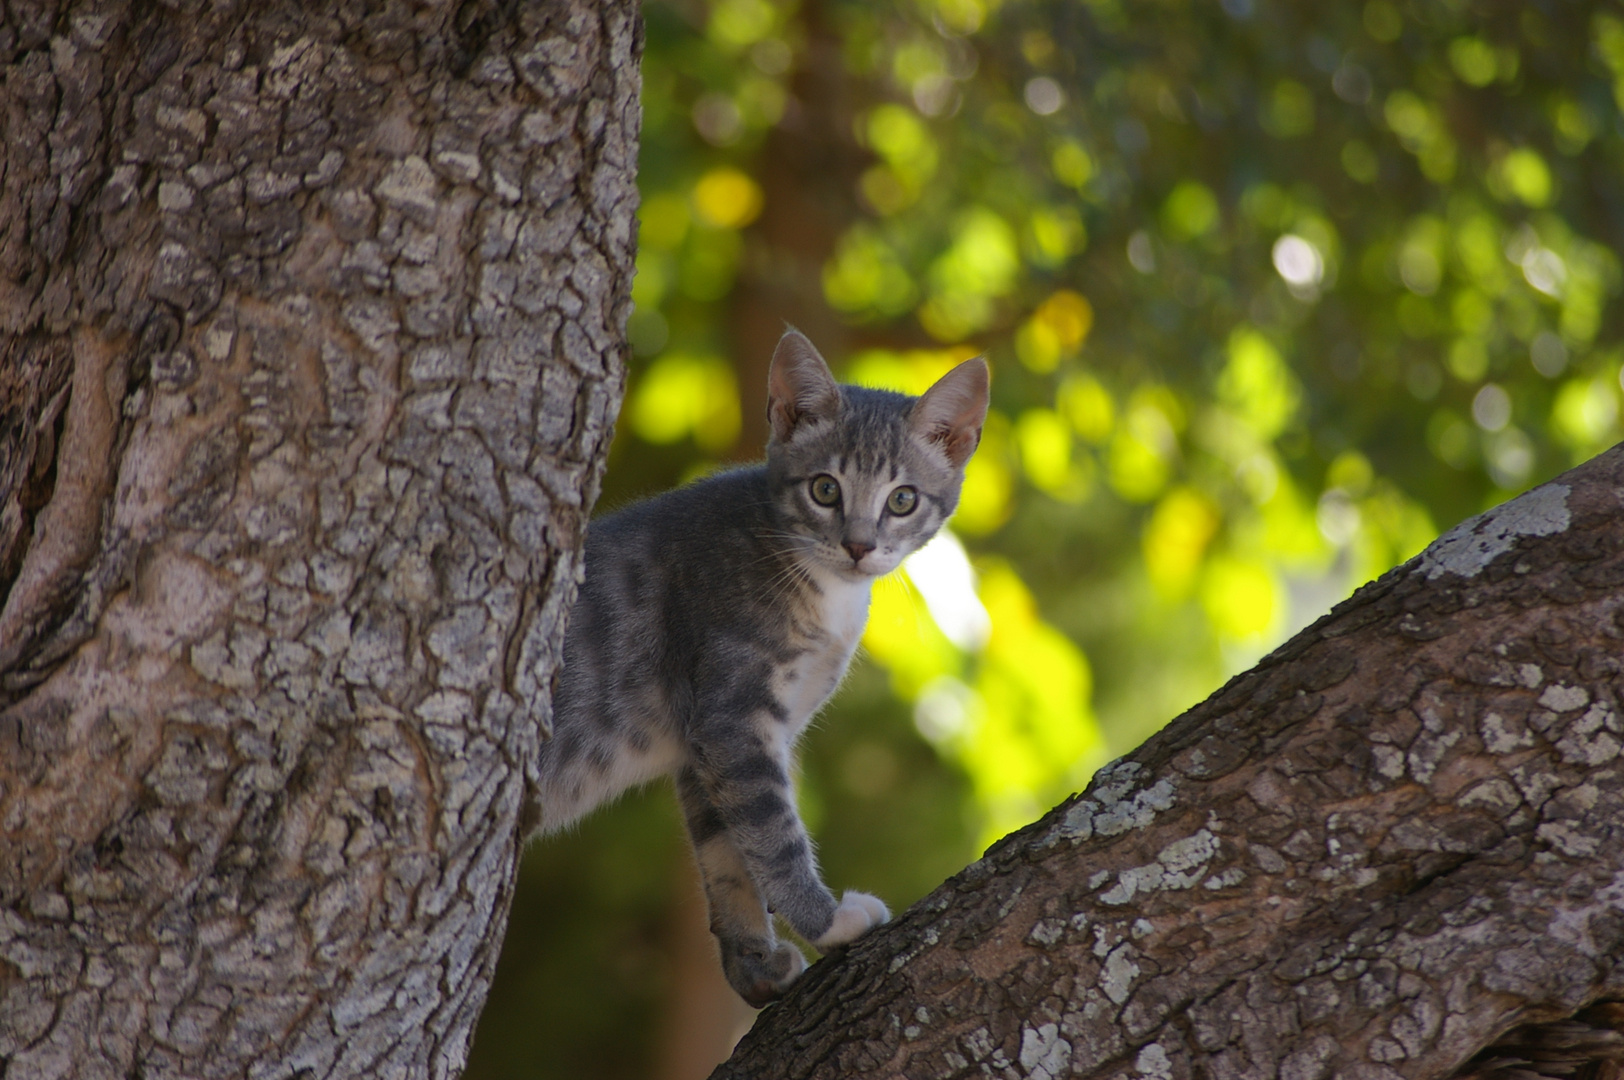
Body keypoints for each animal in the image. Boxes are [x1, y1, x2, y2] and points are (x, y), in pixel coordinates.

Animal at [535, 328, 987, 1000]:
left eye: (903, 499)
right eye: (825, 489)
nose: (859, 545)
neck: (823, 592)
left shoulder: (705, 747)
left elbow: (728, 853)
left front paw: (752, 962)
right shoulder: (731, 720)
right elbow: (773, 832)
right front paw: (827, 921)